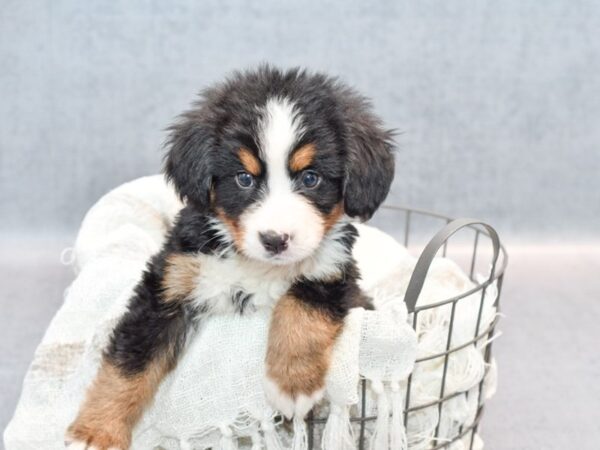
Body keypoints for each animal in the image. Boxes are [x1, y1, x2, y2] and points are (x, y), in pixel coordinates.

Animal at [65, 65, 396, 448]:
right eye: (244, 179)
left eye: (310, 178)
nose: (275, 240)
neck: (257, 267)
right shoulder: (167, 286)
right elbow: (129, 363)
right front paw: (95, 431)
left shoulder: (335, 274)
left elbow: (301, 309)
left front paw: (292, 385)